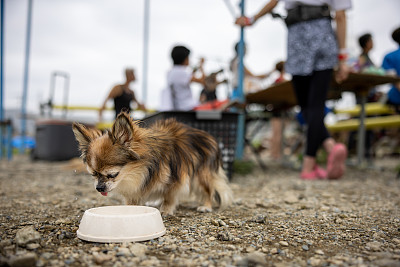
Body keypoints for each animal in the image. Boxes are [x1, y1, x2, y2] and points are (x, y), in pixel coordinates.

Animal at [73, 112, 233, 215]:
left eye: (112, 174)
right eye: (93, 174)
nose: (99, 188)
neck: (140, 172)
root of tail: (208, 135)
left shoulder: (175, 181)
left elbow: (169, 196)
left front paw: (166, 210)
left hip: (201, 176)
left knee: (208, 191)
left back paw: (206, 206)